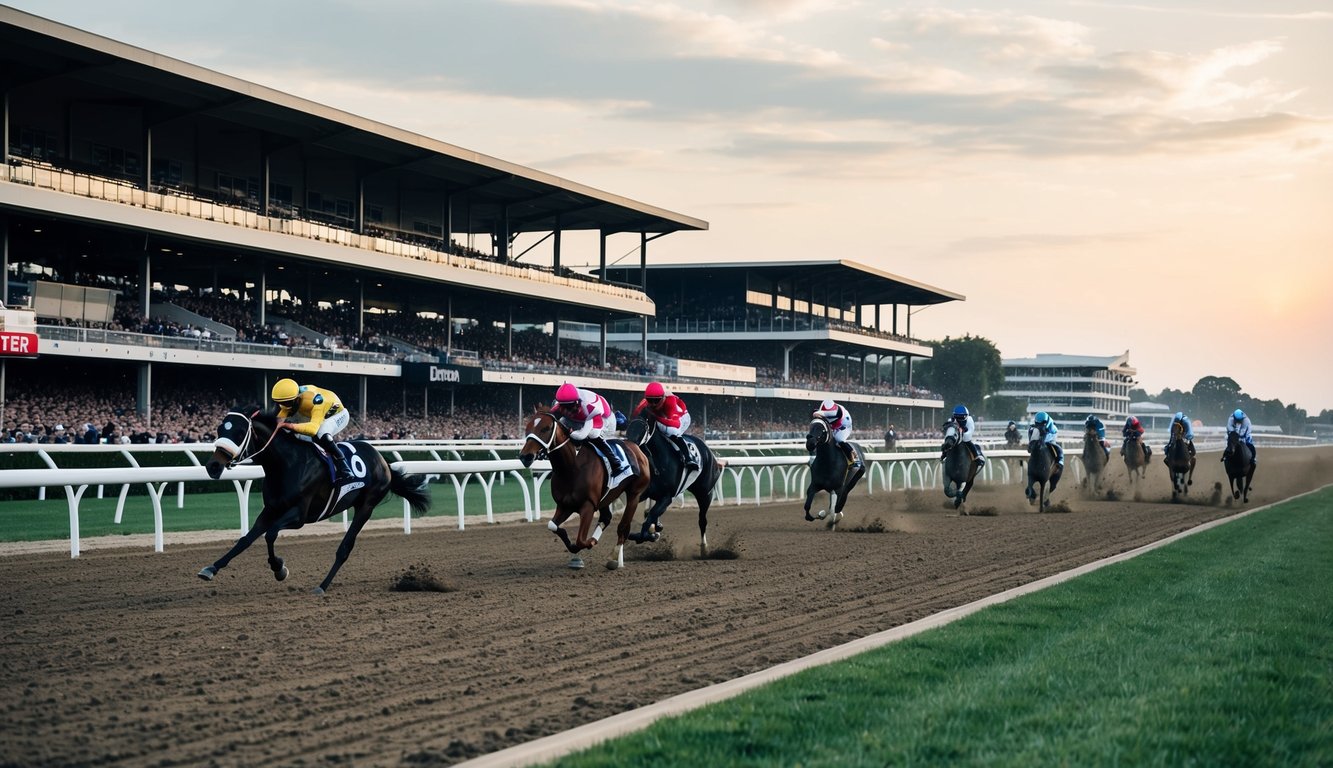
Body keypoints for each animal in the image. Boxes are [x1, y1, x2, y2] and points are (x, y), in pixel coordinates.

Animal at [199, 408, 429, 594]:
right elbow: (245, 539)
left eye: (239, 433)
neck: (287, 464)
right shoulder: (271, 509)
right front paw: (210, 568)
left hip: (366, 506)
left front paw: (279, 568)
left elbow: (271, 534)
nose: (212, 466)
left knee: (344, 548)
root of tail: (383, 460)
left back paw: (322, 586)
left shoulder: (299, 515)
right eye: (219, 430)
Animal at [514, 405, 650, 568]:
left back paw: (614, 556)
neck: (571, 468)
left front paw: (588, 543)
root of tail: (634, 444)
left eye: (545, 428)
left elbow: (581, 539)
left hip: (634, 494)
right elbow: (552, 525)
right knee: (607, 517)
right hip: (607, 497)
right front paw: (573, 545)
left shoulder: (588, 505)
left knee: (623, 526)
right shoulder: (564, 505)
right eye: (527, 427)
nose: (525, 456)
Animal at [618, 413, 725, 557]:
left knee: (702, 520)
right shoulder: (641, 494)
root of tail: (709, 451)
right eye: (629, 425)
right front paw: (651, 530)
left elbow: (649, 520)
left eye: (644, 426)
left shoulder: (667, 497)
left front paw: (648, 535)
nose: (629, 447)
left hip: (705, 494)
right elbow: (645, 515)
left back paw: (704, 549)